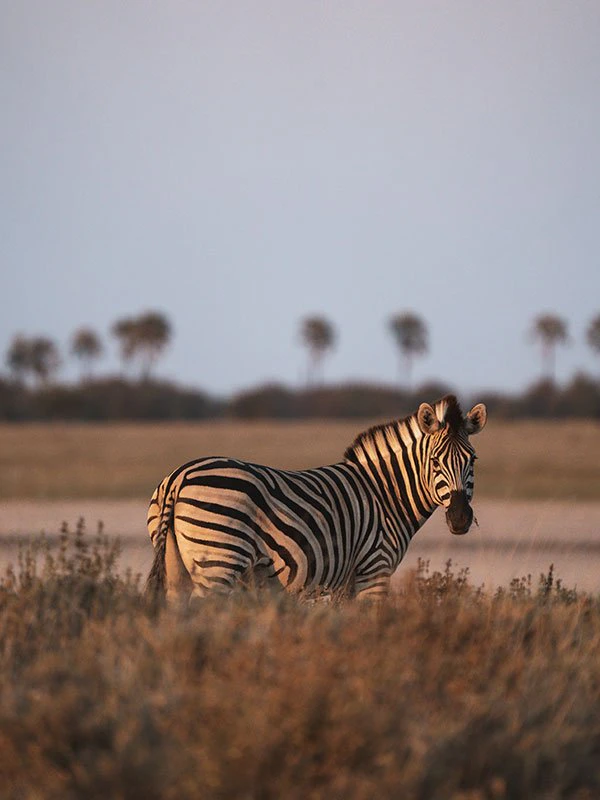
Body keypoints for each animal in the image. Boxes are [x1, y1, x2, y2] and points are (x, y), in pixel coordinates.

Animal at [146, 394, 487, 603]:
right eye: (435, 461)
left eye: (472, 460)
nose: (460, 519)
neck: (385, 495)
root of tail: (178, 477)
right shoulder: (374, 569)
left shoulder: (344, 582)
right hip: (219, 563)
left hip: (179, 569)